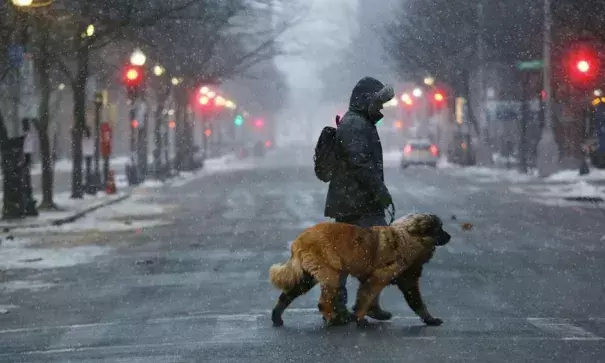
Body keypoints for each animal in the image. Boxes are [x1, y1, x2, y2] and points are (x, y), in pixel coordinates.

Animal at [268, 215, 448, 328]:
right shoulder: (378, 278)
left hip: (308, 277)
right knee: (323, 302)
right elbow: (366, 299)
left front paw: (430, 320)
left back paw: (277, 318)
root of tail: (299, 239)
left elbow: (415, 303)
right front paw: (360, 319)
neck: (409, 237)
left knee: (287, 295)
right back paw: (333, 319)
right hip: (331, 274)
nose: (450, 236)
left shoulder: (404, 281)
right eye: (439, 228)